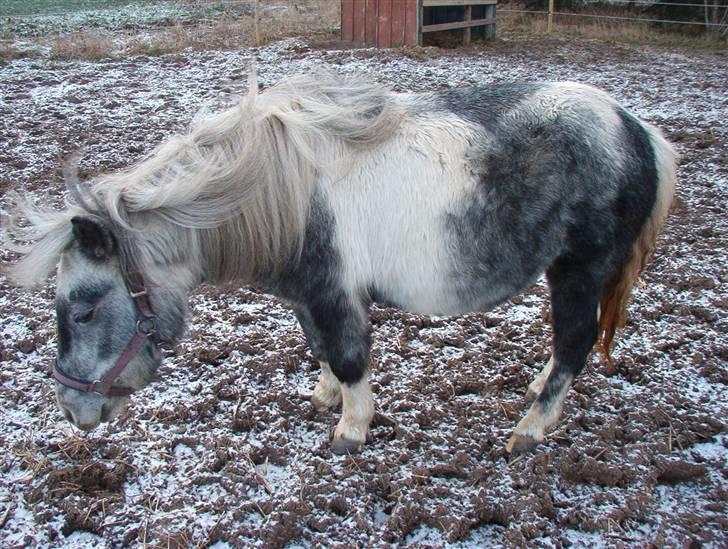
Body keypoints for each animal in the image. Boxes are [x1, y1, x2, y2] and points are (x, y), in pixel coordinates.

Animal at [4, 69, 676, 454]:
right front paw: (325, 397)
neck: (286, 198)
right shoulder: (308, 300)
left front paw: (351, 430)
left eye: (83, 309)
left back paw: (529, 430)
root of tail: (636, 130)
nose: (73, 411)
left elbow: (352, 358)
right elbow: (322, 350)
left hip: (577, 272)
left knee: (575, 343)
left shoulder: (336, 296)